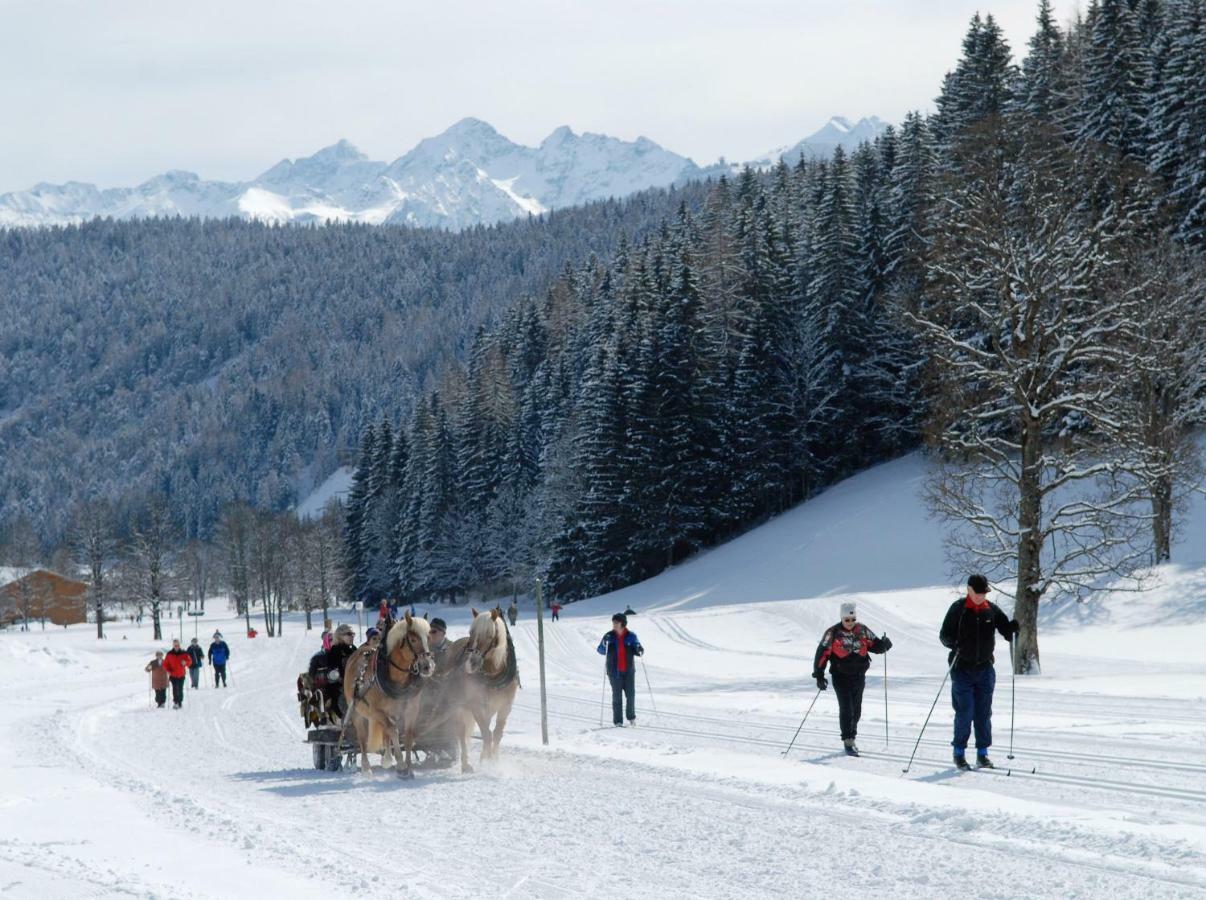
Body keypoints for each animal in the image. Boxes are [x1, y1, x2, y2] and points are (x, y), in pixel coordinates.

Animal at [342, 612, 436, 776]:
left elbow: (408, 735)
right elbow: (393, 730)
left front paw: (408, 767)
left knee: (386, 732)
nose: (427, 666)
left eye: (429, 637)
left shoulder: (411, 709)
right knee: (362, 738)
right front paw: (401, 764)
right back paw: (366, 768)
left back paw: (386, 758)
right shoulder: (376, 711)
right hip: (357, 712)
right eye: (413, 639)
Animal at [460, 605, 518, 762]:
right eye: (471, 632)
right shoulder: (476, 705)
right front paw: (487, 762)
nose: (471, 664)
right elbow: (486, 734)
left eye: (489, 634)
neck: (494, 675)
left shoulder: (505, 706)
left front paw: (494, 761)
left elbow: (496, 734)